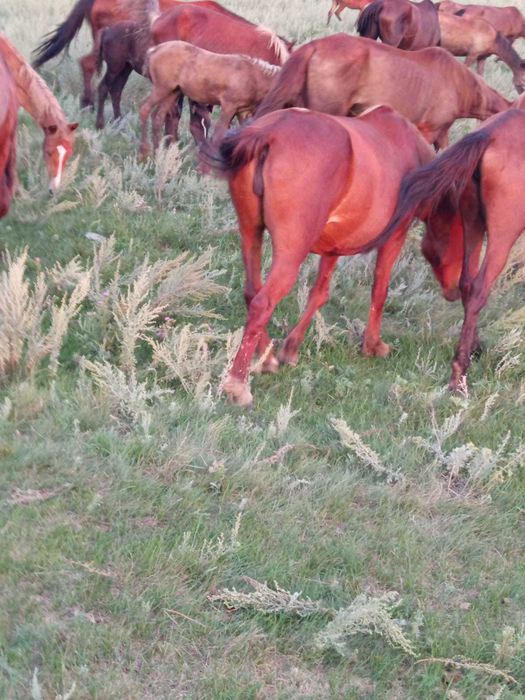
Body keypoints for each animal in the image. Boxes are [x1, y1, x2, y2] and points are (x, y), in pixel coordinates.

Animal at [139, 41, 280, 157]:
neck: (255, 76)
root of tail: (154, 50)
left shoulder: (243, 111)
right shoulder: (229, 105)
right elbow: (220, 132)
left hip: (173, 92)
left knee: (158, 116)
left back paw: (158, 152)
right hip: (162, 88)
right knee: (145, 108)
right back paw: (144, 153)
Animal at [201, 105, 434, 406]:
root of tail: (270, 132)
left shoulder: (332, 247)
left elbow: (319, 293)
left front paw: (290, 349)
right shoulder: (395, 237)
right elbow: (380, 290)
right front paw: (372, 344)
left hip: (250, 232)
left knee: (252, 291)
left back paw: (267, 358)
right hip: (291, 252)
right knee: (263, 302)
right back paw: (238, 384)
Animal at [373, 108, 525, 393]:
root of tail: (490, 134)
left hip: (474, 221)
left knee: (467, 283)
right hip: (503, 232)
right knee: (478, 289)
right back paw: (459, 373)